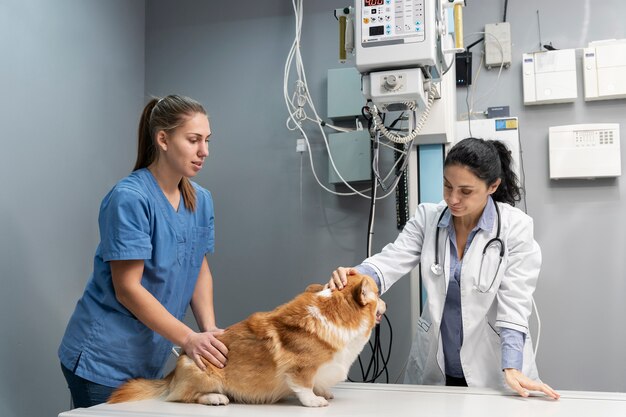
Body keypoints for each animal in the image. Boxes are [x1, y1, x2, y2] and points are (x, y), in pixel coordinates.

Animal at [109, 272, 388, 406]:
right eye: (377, 293)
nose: (385, 303)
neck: (335, 313)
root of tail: (173, 374)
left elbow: (318, 383)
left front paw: (324, 392)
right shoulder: (300, 370)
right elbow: (304, 387)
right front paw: (315, 401)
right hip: (204, 375)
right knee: (181, 397)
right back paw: (215, 398)